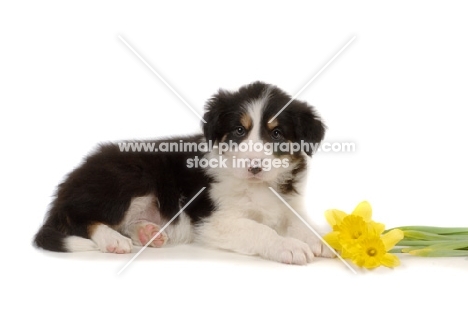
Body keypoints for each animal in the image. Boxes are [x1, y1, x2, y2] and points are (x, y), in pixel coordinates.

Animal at [34, 81, 334, 264]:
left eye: (277, 133)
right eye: (239, 130)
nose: (254, 166)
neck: (258, 184)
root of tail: (68, 183)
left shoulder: (287, 204)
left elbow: (300, 222)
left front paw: (322, 239)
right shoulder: (213, 219)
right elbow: (257, 228)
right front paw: (289, 246)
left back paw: (146, 232)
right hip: (129, 176)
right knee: (78, 217)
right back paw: (113, 240)